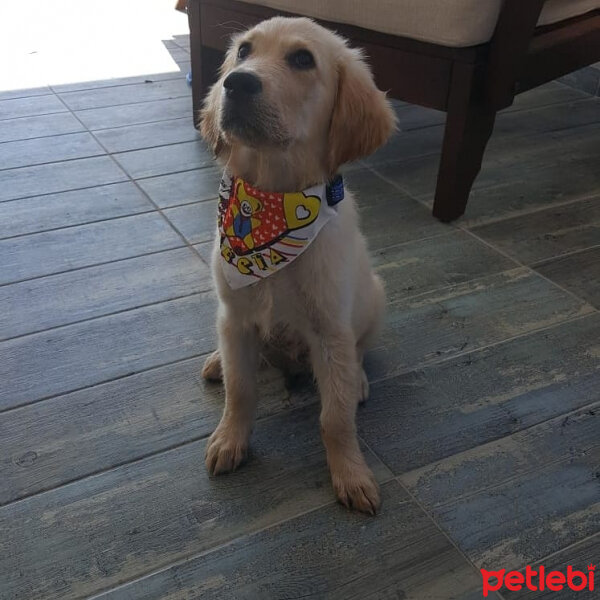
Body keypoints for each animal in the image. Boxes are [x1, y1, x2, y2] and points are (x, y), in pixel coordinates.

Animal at [199, 15, 396, 510]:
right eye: (243, 51)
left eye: (303, 60)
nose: (236, 82)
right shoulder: (235, 316)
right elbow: (241, 390)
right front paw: (230, 440)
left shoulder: (329, 330)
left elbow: (335, 418)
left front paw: (350, 473)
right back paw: (216, 360)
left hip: (374, 298)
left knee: (358, 351)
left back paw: (359, 381)